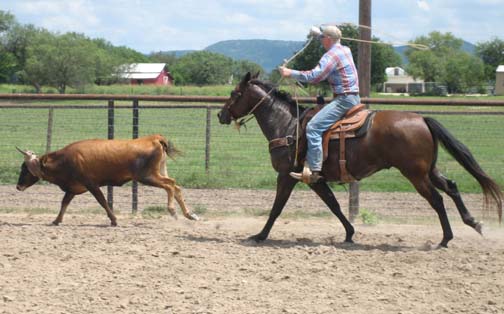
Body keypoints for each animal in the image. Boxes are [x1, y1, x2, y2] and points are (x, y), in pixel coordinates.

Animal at [16, 134, 197, 226]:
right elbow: (64, 203)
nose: (18, 186)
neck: (66, 160)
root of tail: (153, 138)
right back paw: (189, 214)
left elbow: (102, 201)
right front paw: (56, 220)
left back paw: (173, 211)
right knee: (176, 186)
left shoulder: (91, 184)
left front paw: (114, 220)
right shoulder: (73, 188)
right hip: (158, 171)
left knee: (170, 185)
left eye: (24, 168)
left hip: (147, 176)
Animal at [216, 72, 500, 247]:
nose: (220, 115)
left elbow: (277, 208)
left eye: (234, 93)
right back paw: (472, 223)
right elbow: (334, 205)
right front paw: (350, 234)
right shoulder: (315, 179)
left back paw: (445, 238)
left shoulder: (286, 176)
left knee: (437, 199)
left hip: (415, 174)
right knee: (451, 186)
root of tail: (422, 119)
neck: (288, 125)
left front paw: (259, 235)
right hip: (429, 170)